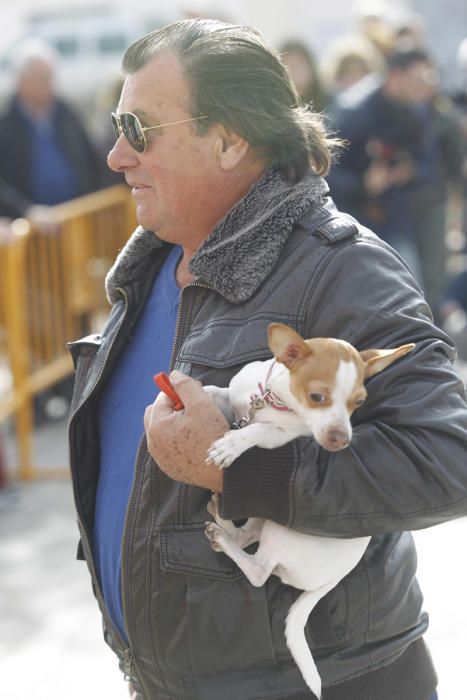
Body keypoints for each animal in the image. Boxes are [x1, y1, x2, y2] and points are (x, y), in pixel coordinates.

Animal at [204, 324, 414, 700]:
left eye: (358, 403)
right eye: (318, 397)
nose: (340, 439)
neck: (271, 401)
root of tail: (334, 579)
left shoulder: (279, 439)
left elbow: (257, 429)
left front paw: (231, 443)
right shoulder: (236, 395)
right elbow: (216, 391)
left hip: (282, 528)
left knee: (258, 571)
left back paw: (224, 537)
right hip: (266, 511)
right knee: (247, 534)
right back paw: (223, 520)